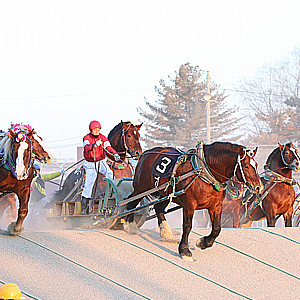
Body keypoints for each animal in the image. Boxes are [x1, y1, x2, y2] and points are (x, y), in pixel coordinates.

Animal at [123, 142, 262, 260]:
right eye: (246, 166)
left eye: (256, 165)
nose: (258, 187)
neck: (204, 172)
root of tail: (147, 153)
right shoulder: (189, 204)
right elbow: (187, 226)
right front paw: (184, 250)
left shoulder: (216, 206)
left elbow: (217, 228)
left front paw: (204, 242)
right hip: (141, 188)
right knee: (130, 202)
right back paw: (130, 225)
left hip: (166, 192)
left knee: (158, 208)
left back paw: (165, 232)